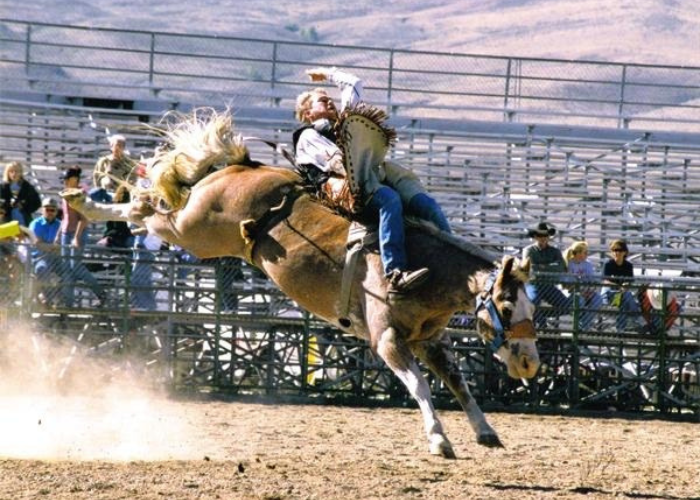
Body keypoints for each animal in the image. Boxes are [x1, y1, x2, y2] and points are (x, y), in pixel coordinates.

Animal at [61, 107, 540, 458]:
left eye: (533, 308)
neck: (422, 268)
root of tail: (240, 167)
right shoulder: (386, 339)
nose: (531, 364)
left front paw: (486, 431)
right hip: (191, 227)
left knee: (148, 206)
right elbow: (419, 385)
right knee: (143, 209)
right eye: (507, 305)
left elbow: (457, 381)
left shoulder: (429, 340)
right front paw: (439, 440)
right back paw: (84, 203)